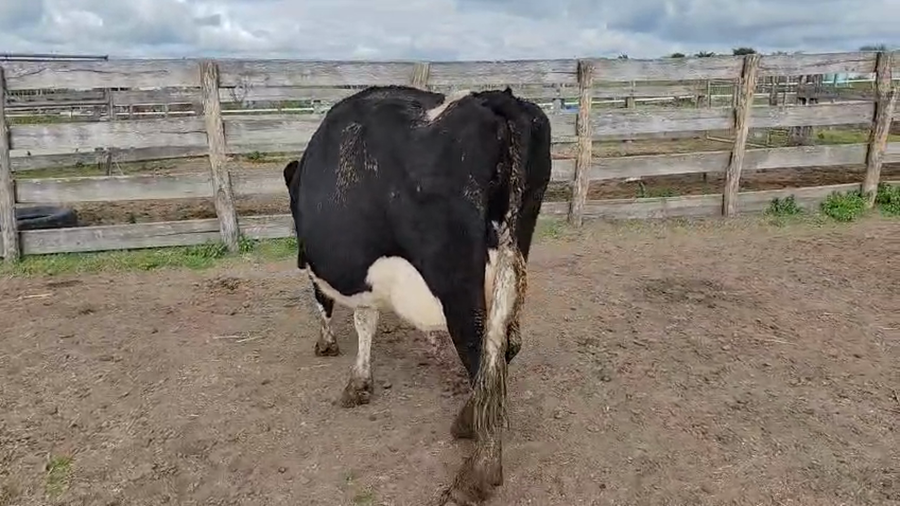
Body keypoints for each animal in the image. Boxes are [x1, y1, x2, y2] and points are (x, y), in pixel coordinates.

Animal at [283, 84, 552, 504]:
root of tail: (495, 99)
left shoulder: (330, 266)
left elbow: (342, 311)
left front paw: (340, 360)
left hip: (454, 280)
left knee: (481, 352)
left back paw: (478, 472)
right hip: (516, 245)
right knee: (507, 344)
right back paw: (468, 421)